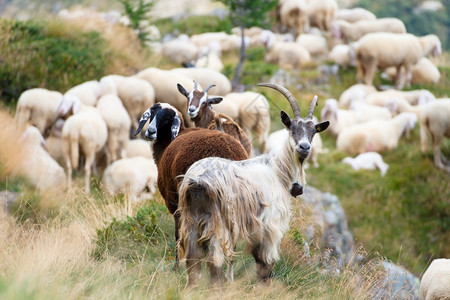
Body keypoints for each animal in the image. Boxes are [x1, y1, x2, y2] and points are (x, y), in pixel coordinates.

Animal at [177, 84, 330, 286]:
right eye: (292, 127)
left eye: (313, 131)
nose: (304, 147)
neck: (278, 170)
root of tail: (197, 181)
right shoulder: (271, 226)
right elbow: (265, 264)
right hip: (218, 223)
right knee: (213, 260)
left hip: (191, 221)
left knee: (192, 260)